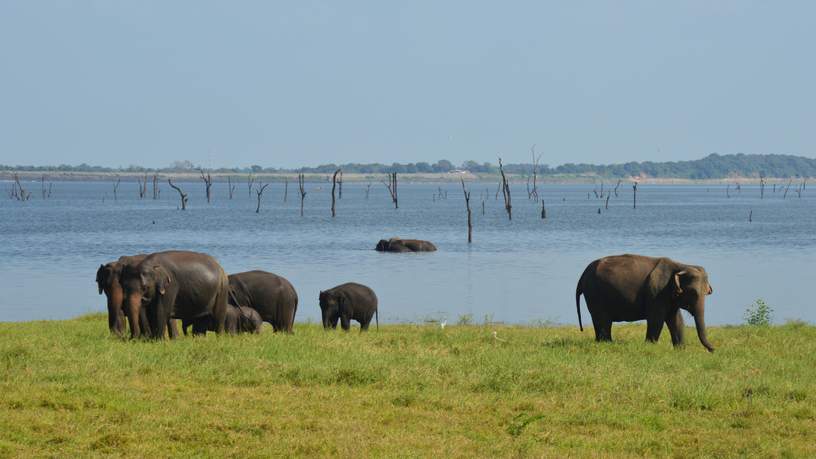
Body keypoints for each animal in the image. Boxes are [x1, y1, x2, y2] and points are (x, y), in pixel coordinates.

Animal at [572, 255, 712, 352]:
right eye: (693, 293)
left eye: (707, 293)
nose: (712, 350)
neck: (680, 265)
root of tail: (582, 276)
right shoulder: (657, 293)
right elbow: (657, 319)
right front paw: (651, 345)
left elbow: (676, 320)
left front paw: (680, 349)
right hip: (595, 293)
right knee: (603, 320)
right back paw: (607, 343)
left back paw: (600, 342)